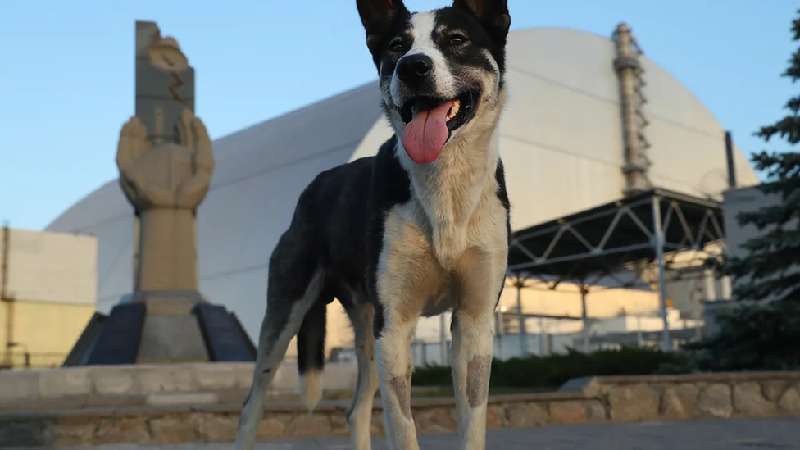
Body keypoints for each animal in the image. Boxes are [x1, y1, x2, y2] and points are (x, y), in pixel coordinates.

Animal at [238, 1, 510, 448]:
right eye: (397, 46)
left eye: (456, 39)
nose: (412, 67)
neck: (445, 185)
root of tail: (314, 187)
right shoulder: (395, 324)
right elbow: (403, 428)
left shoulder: (474, 321)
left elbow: (472, 423)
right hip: (286, 316)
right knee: (251, 405)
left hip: (366, 332)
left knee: (355, 410)